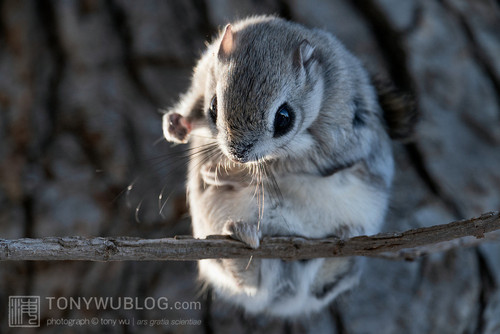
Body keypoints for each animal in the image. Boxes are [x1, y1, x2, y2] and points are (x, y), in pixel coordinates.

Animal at [162, 15, 416, 318]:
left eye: (284, 118)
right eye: (213, 107)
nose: (238, 154)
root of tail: (285, 293)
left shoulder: (340, 132)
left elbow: (291, 163)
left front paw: (232, 171)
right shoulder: (204, 72)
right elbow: (192, 101)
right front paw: (176, 125)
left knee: (329, 275)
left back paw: (346, 235)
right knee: (243, 279)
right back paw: (241, 232)